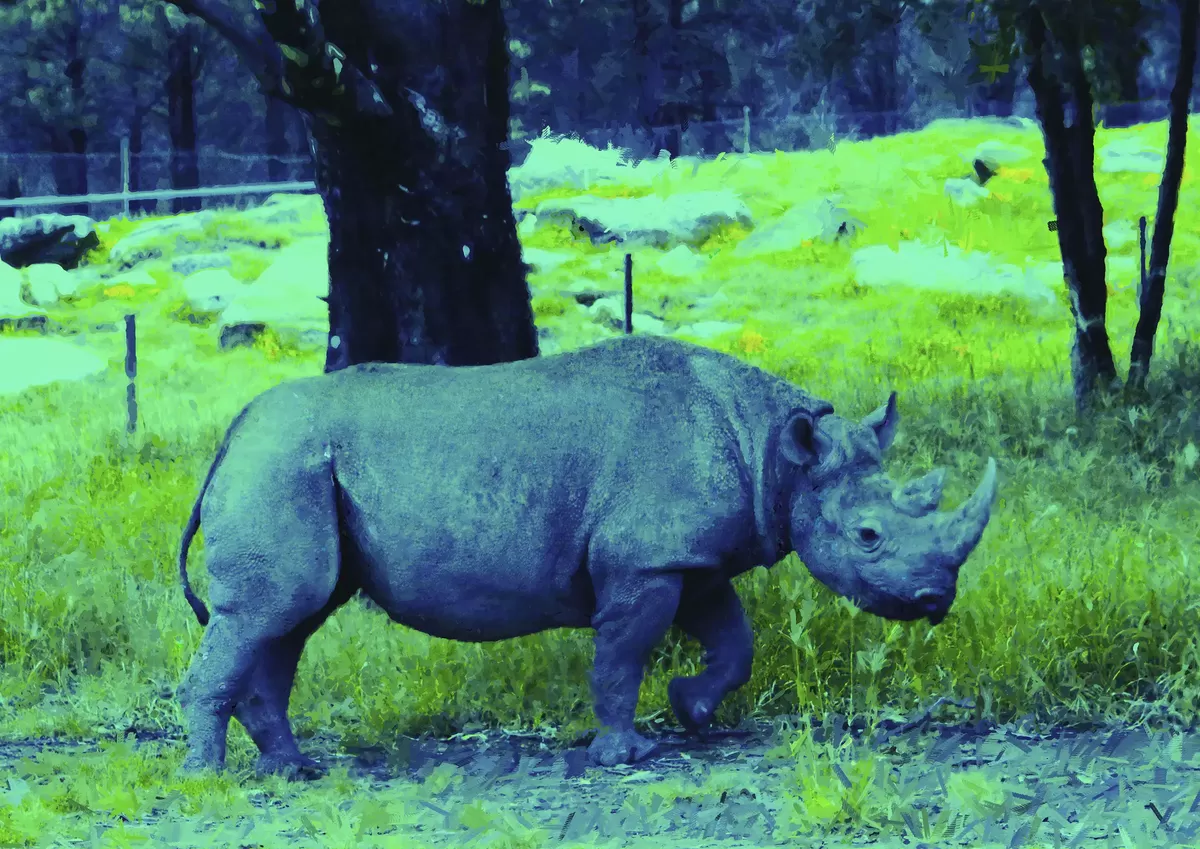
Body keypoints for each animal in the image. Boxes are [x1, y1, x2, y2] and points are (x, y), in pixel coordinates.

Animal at [176, 335, 997, 778]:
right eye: (869, 537)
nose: (936, 601)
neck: (779, 452)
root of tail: (231, 434)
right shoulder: (644, 562)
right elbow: (623, 654)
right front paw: (623, 754)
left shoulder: (691, 558)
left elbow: (735, 643)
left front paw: (693, 712)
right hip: (281, 465)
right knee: (269, 612)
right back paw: (209, 777)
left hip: (290, 465)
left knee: (289, 619)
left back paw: (291, 767)